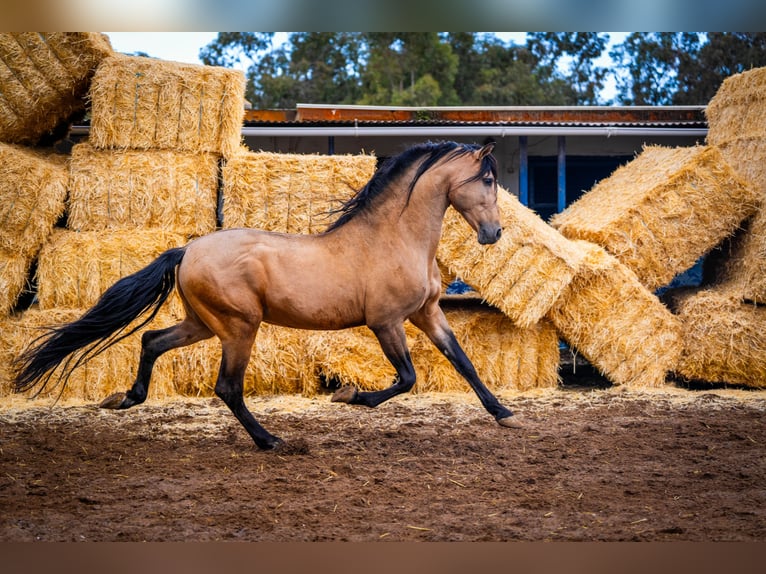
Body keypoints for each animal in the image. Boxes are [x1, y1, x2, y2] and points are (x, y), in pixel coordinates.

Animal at [15, 142, 520, 452]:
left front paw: (505, 414)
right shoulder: (386, 321)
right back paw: (269, 440)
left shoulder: (427, 312)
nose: (494, 234)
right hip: (239, 327)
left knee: (151, 341)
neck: (396, 238)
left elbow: (463, 362)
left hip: (203, 324)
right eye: (488, 181)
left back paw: (126, 399)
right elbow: (407, 378)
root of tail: (188, 249)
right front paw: (349, 396)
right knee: (227, 387)